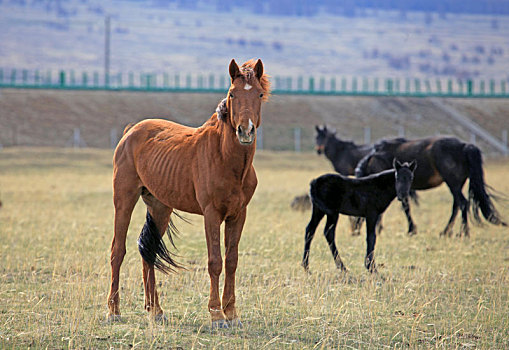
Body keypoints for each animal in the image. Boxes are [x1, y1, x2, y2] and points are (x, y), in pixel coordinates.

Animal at [107, 58, 270, 328]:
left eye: (259, 94)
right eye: (232, 94)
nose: (245, 131)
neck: (226, 159)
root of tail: (130, 131)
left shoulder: (238, 215)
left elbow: (232, 261)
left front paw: (232, 313)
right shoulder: (212, 214)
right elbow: (215, 261)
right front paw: (216, 315)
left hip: (160, 208)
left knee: (148, 252)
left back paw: (155, 310)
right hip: (124, 200)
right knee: (117, 251)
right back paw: (113, 310)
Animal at [356, 135, 506, 237]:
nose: (355, 231)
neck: (374, 159)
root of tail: (465, 146)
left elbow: (405, 207)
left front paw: (410, 229)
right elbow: (406, 207)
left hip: (452, 183)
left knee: (463, 203)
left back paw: (463, 232)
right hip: (457, 184)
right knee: (457, 204)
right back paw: (446, 232)